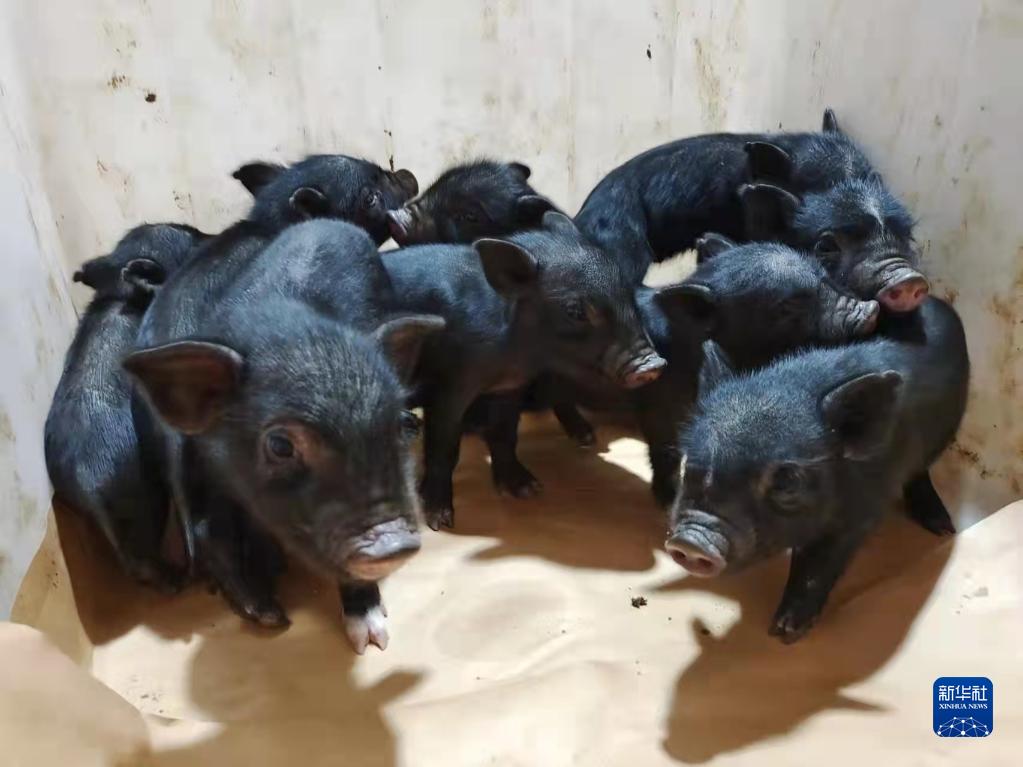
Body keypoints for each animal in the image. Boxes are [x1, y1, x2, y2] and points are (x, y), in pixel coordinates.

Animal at [130, 219, 443, 653]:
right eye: (280, 445)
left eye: (402, 424)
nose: (394, 541)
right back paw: (265, 612)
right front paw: (275, 618)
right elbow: (213, 529)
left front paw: (372, 639)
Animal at [380, 212, 666, 529]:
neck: (514, 356)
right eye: (575, 311)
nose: (652, 365)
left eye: (628, 296)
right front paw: (440, 521)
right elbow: (444, 445)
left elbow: (505, 434)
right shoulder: (450, 384)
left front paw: (529, 490)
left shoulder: (510, 387)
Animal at [666, 297, 969, 642]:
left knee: (921, 475)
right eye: (687, 464)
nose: (690, 541)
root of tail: (937, 300)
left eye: (787, 482)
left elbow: (817, 567)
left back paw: (942, 527)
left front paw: (784, 633)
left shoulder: (860, 513)